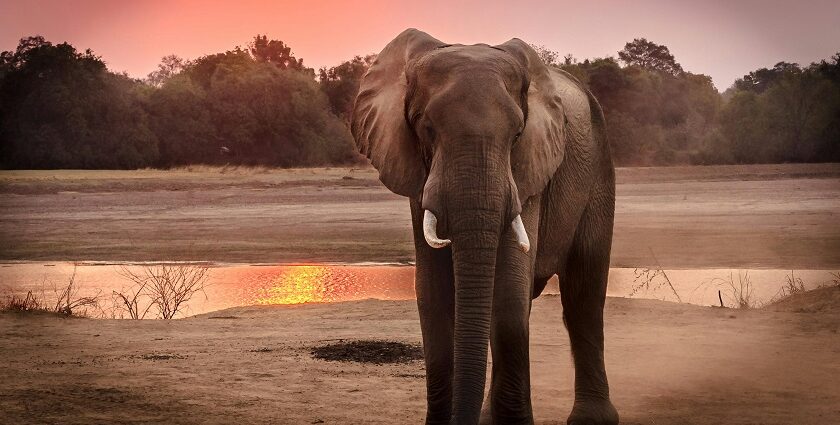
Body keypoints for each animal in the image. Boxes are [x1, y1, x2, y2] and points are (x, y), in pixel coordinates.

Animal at [352, 29, 620, 424]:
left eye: (518, 134)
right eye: (426, 129)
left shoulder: (530, 170)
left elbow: (508, 290)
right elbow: (433, 293)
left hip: (599, 167)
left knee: (583, 294)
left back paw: (591, 419)